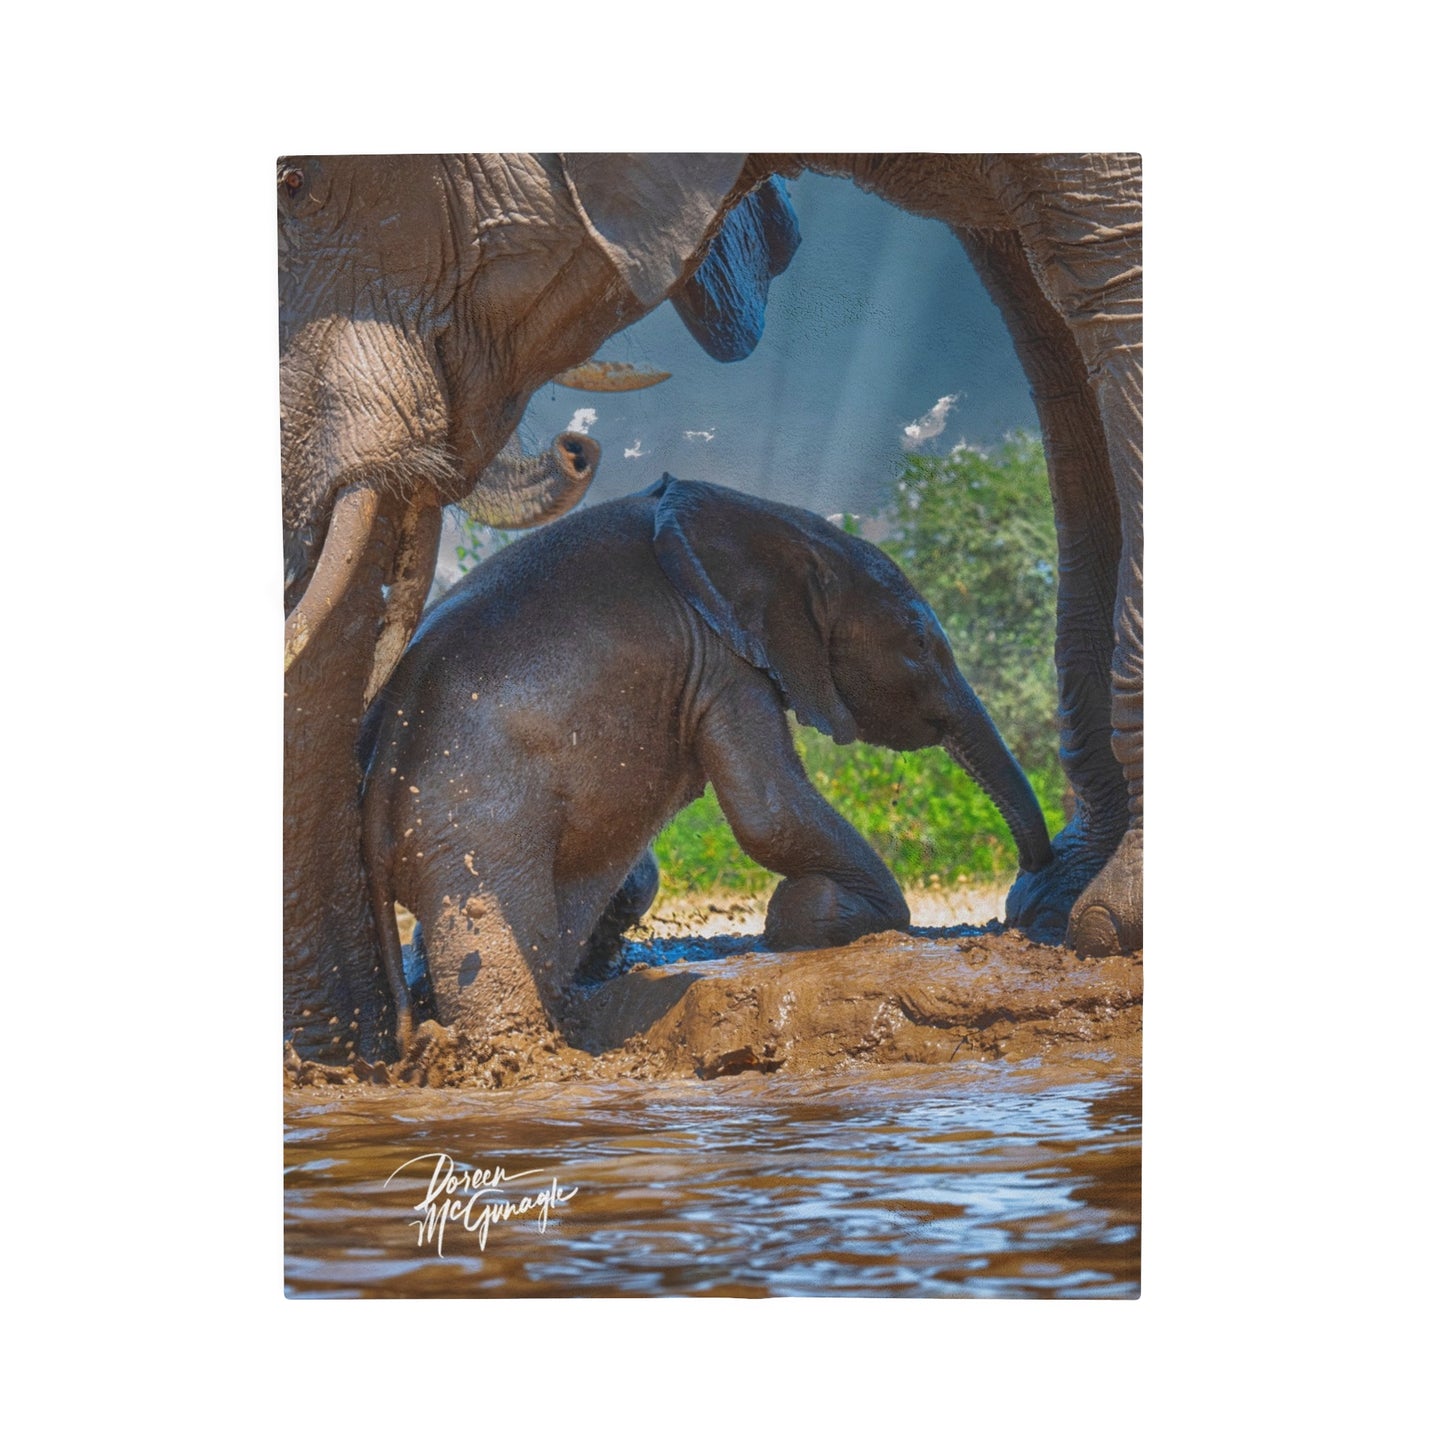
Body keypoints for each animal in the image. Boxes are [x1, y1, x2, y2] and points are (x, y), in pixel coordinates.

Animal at [359, 475, 1054, 1052]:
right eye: (919, 641)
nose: (1031, 883)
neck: (776, 526)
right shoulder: (723, 659)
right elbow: (768, 811)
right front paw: (823, 914)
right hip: (472, 829)